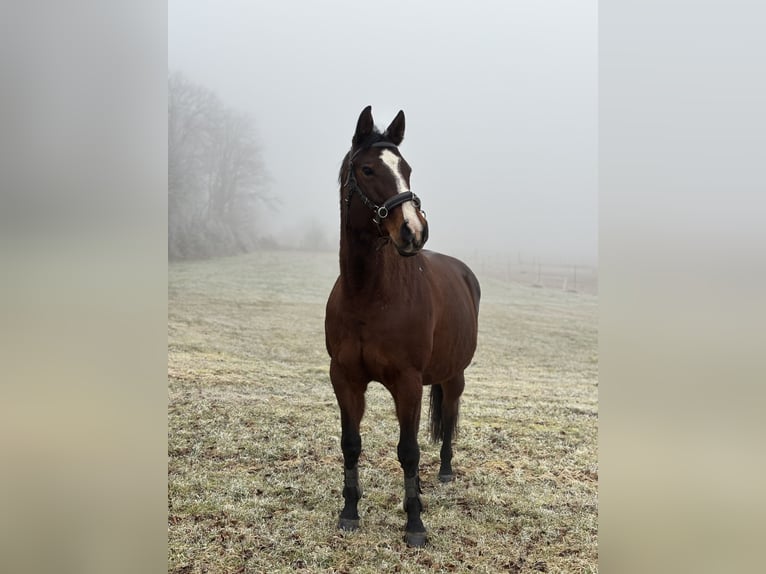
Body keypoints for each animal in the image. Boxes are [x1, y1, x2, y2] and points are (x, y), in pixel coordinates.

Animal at [324, 106, 481, 547]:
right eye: (367, 169)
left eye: (406, 168)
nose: (414, 230)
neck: (369, 296)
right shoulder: (345, 379)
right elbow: (351, 444)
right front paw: (349, 512)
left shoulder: (408, 383)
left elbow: (408, 451)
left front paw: (415, 524)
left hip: (454, 375)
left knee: (449, 417)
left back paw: (444, 472)